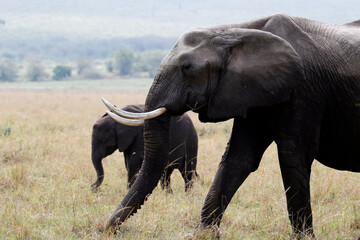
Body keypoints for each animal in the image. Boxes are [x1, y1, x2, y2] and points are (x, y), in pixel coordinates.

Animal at [102, 14, 360, 237]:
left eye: (186, 67)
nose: (107, 229)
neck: (234, 31)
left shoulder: (303, 91)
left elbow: (293, 157)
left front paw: (303, 238)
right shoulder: (249, 91)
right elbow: (238, 158)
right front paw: (202, 235)